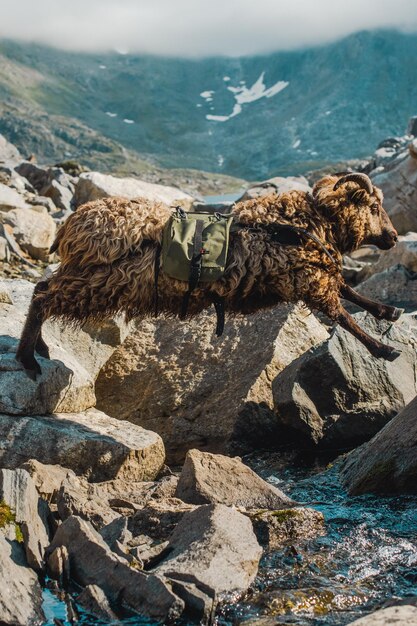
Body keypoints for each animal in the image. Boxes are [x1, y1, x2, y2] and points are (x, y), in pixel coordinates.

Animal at [17, 171, 404, 378]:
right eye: (373, 206)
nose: (394, 238)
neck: (305, 224)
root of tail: (72, 223)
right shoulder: (308, 278)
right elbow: (342, 313)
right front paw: (384, 349)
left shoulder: (316, 272)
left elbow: (349, 293)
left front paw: (389, 311)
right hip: (96, 280)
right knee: (42, 296)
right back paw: (27, 359)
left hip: (86, 276)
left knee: (41, 287)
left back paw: (40, 348)